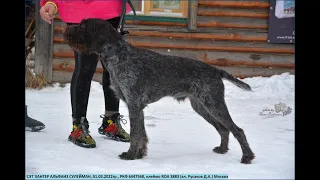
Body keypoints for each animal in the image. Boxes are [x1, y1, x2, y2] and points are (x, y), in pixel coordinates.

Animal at [64, 18, 255, 165]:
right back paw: (222, 149)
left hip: (214, 104)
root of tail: (216, 70)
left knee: (237, 130)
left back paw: (247, 157)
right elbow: (141, 133)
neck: (119, 56)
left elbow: (136, 134)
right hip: (202, 106)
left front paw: (131, 155)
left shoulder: (134, 104)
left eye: (83, 26)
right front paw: (139, 154)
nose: (67, 29)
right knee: (223, 129)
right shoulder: (136, 106)